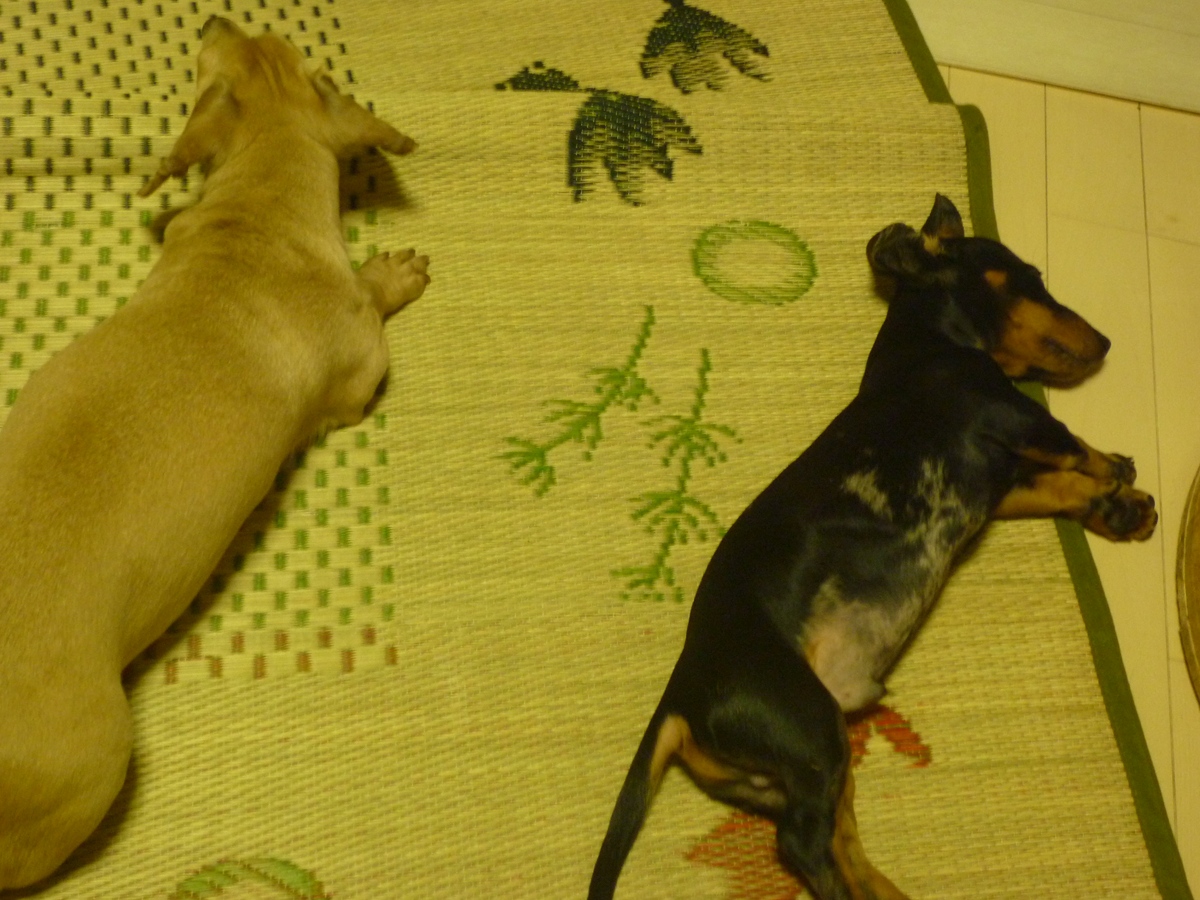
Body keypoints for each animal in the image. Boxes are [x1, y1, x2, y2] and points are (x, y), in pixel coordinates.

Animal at [0, 17, 428, 889]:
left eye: (261, 35)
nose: (211, 19)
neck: (255, 225)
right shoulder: (359, 378)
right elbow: (371, 308)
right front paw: (391, 272)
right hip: (101, 758)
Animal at [588, 194, 1156, 900]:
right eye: (1028, 276)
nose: (1105, 342)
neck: (929, 344)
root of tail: (680, 697)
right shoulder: (1013, 415)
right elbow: (1077, 450)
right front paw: (1117, 478)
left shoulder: (1005, 485)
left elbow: (1060, 485)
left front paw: (1121, 509)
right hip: (810, 729)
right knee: (803, 846)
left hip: (800, 772)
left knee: (838, 839)